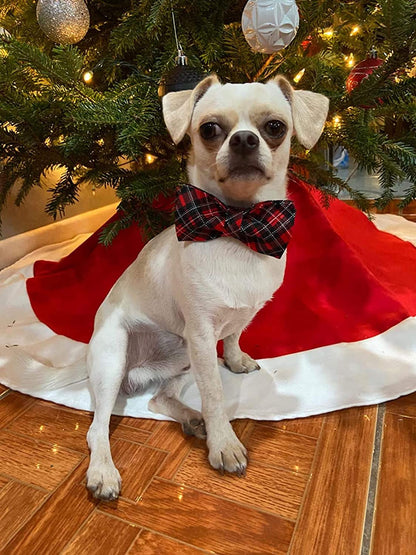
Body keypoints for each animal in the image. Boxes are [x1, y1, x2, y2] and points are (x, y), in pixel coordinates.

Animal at [86, 73, 330, 500]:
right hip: (114, 358)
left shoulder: (228, 325)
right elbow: (216, 396)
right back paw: (103, 471)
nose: (245, 140)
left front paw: (236, 360)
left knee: (160, 398)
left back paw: (190, 417)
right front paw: (224, 443)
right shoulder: (201, 335)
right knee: (97, 427)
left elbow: (233, 337)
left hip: (184, 358)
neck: (237, 224)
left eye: (275, 128)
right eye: (210, 130)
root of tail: (139, 371)